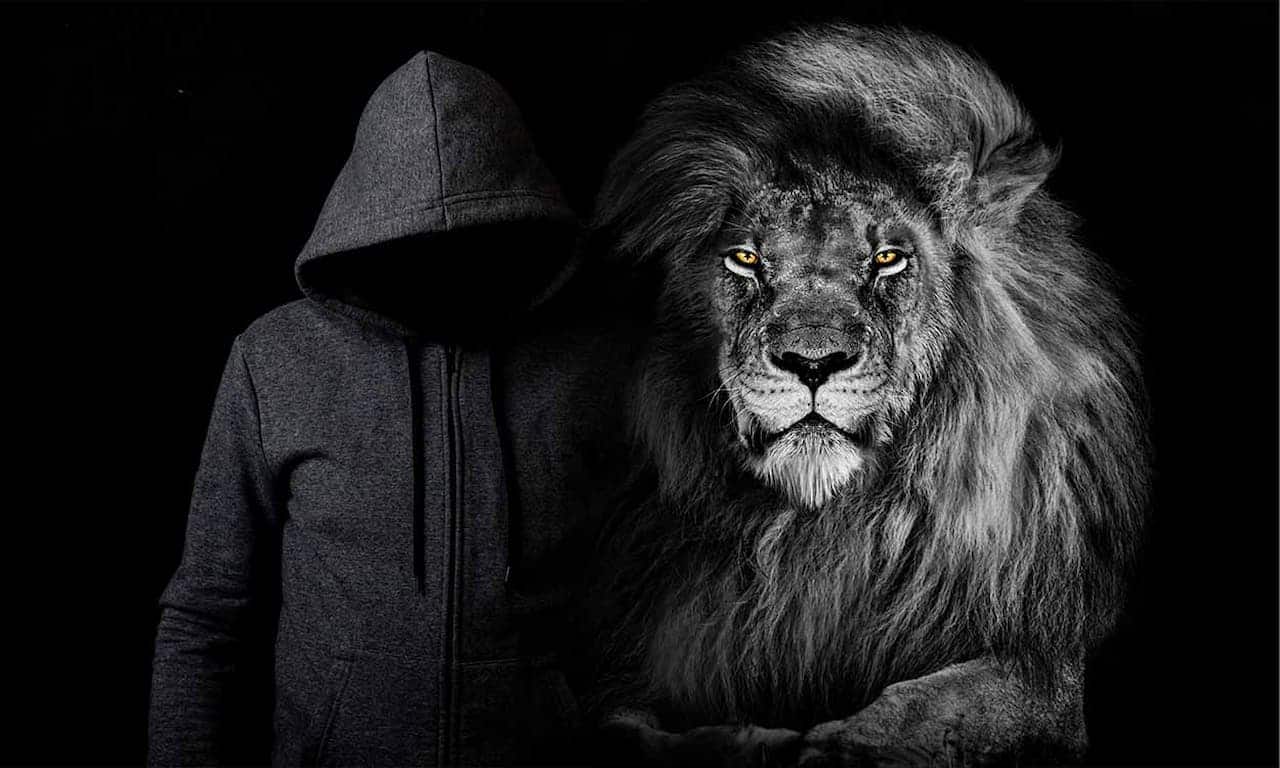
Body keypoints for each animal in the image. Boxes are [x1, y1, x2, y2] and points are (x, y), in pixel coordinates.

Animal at [582, 24, 1150, 767]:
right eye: (746, 258)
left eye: (887, 258)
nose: (812, 362)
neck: (825, 530)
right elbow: (626, 726)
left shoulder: (1043, 665)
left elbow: (933, 708)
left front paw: (837, 747)